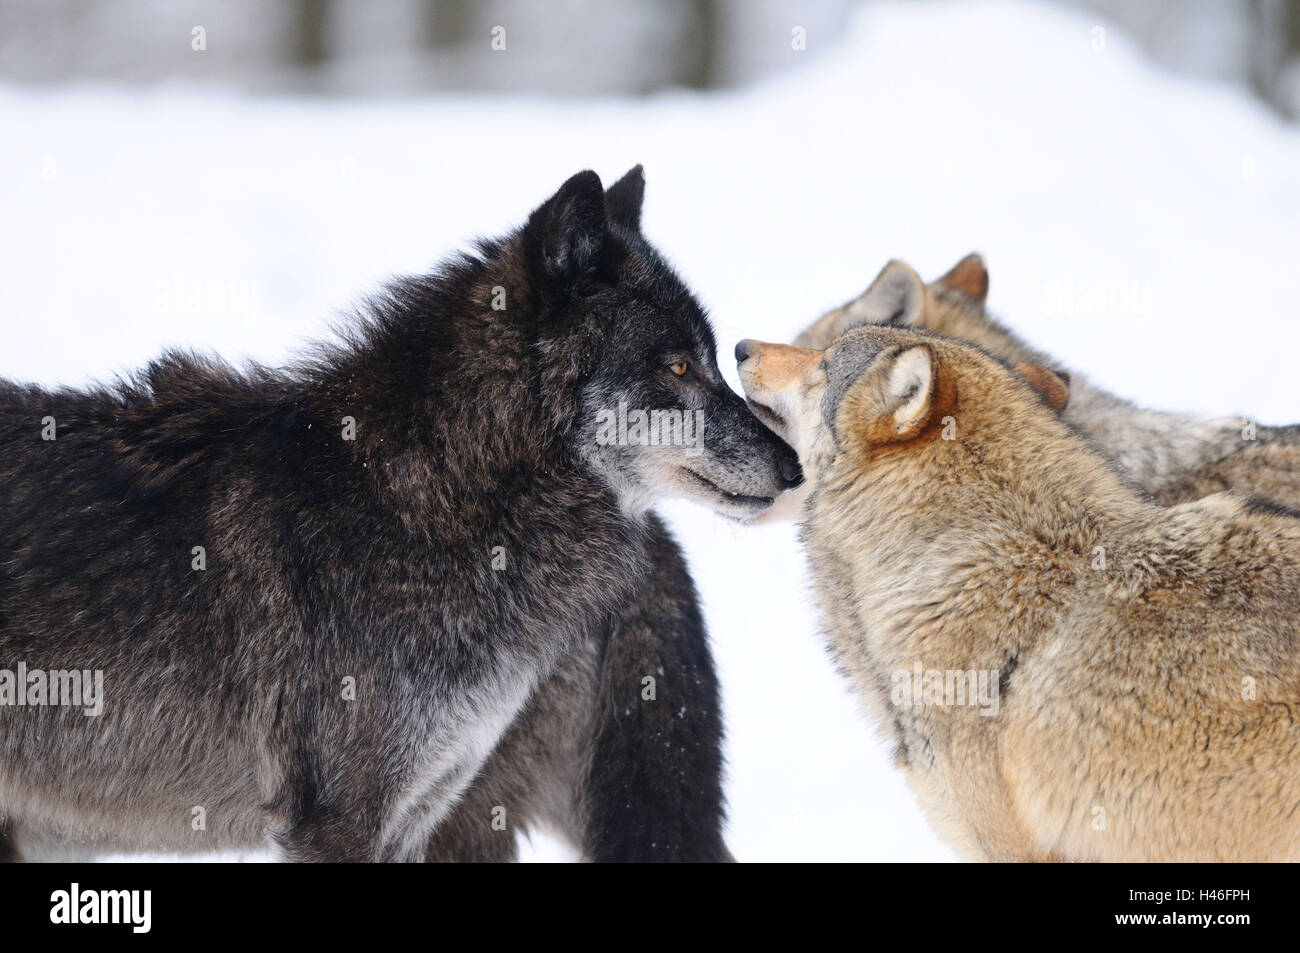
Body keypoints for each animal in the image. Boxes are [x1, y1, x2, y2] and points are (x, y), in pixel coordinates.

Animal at [0, 167, 801, 862]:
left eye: (713, 360)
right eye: (678, 367)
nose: (796, 468)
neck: (432, 503)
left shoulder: (412, 815)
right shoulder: (340, 822)